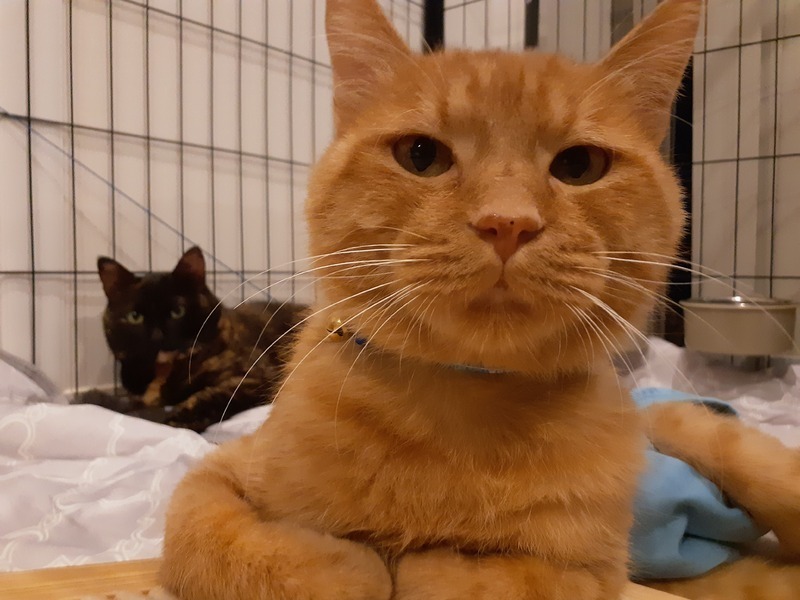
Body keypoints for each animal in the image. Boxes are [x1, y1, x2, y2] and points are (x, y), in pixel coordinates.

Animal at [92, 246, 305, 432]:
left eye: (178, 311)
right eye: (134, 316)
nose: (157, 335)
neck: (163, 371)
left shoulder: (254, 376)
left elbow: (210, 397)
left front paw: (176, 420)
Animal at [159, 1, 800, 598]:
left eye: (580, 165)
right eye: (421, 155)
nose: (507, 222)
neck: (461, 413)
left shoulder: (594, 573)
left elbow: (474, 574)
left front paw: (418, 562)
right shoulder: (222, 470)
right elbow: (206, 534)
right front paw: (343, 568)